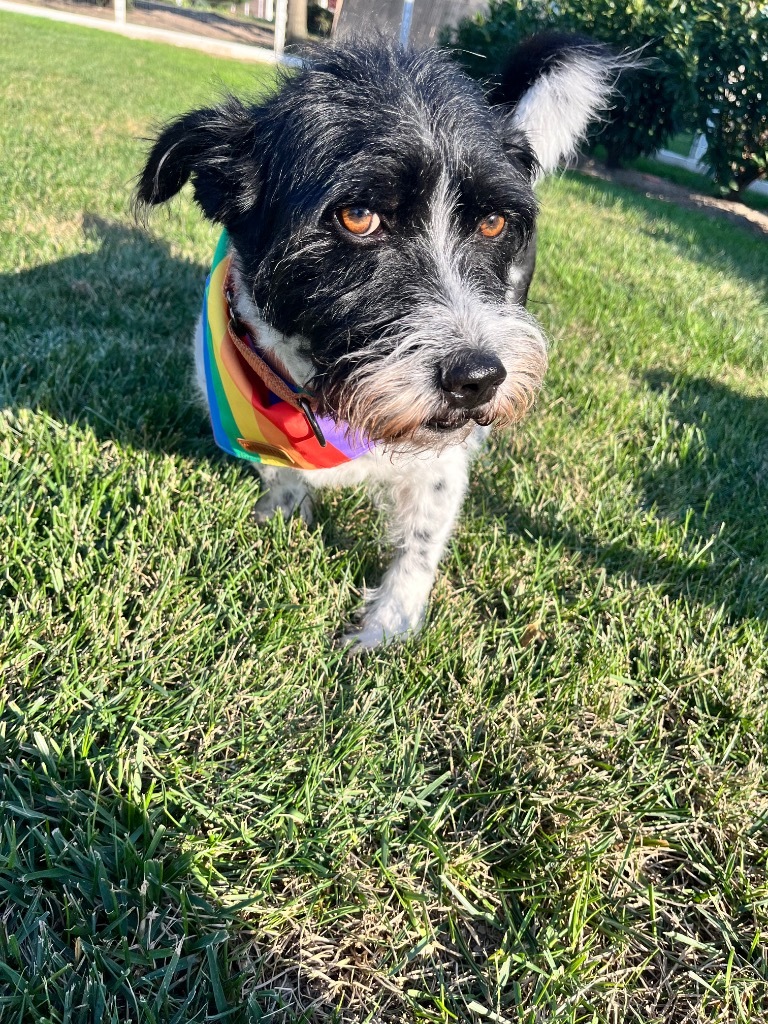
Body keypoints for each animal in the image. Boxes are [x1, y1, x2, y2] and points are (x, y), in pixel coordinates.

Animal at [137, 39, 618, 651]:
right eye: (358, 216)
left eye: (492, 223)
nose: (478, 378)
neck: (329, 407)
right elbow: (279, 475)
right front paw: (284, 507)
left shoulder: (442, 458)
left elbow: (421, 536)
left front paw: (389, 622)